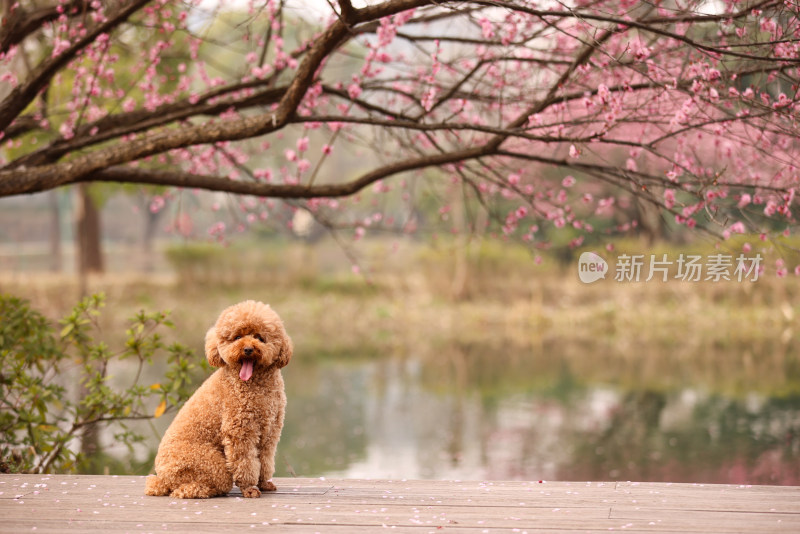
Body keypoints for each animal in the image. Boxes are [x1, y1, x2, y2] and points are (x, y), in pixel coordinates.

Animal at [145, 304, 292, 500]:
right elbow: (245, 462)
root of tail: (162, 477)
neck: (256, 384)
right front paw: (249, 488)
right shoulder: (240, 430)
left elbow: (265, 460)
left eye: (259, 337)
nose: (247, 349)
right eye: (237, 337)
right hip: (211, 464)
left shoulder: (270, 430)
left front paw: (264, 483)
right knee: (187, 489)